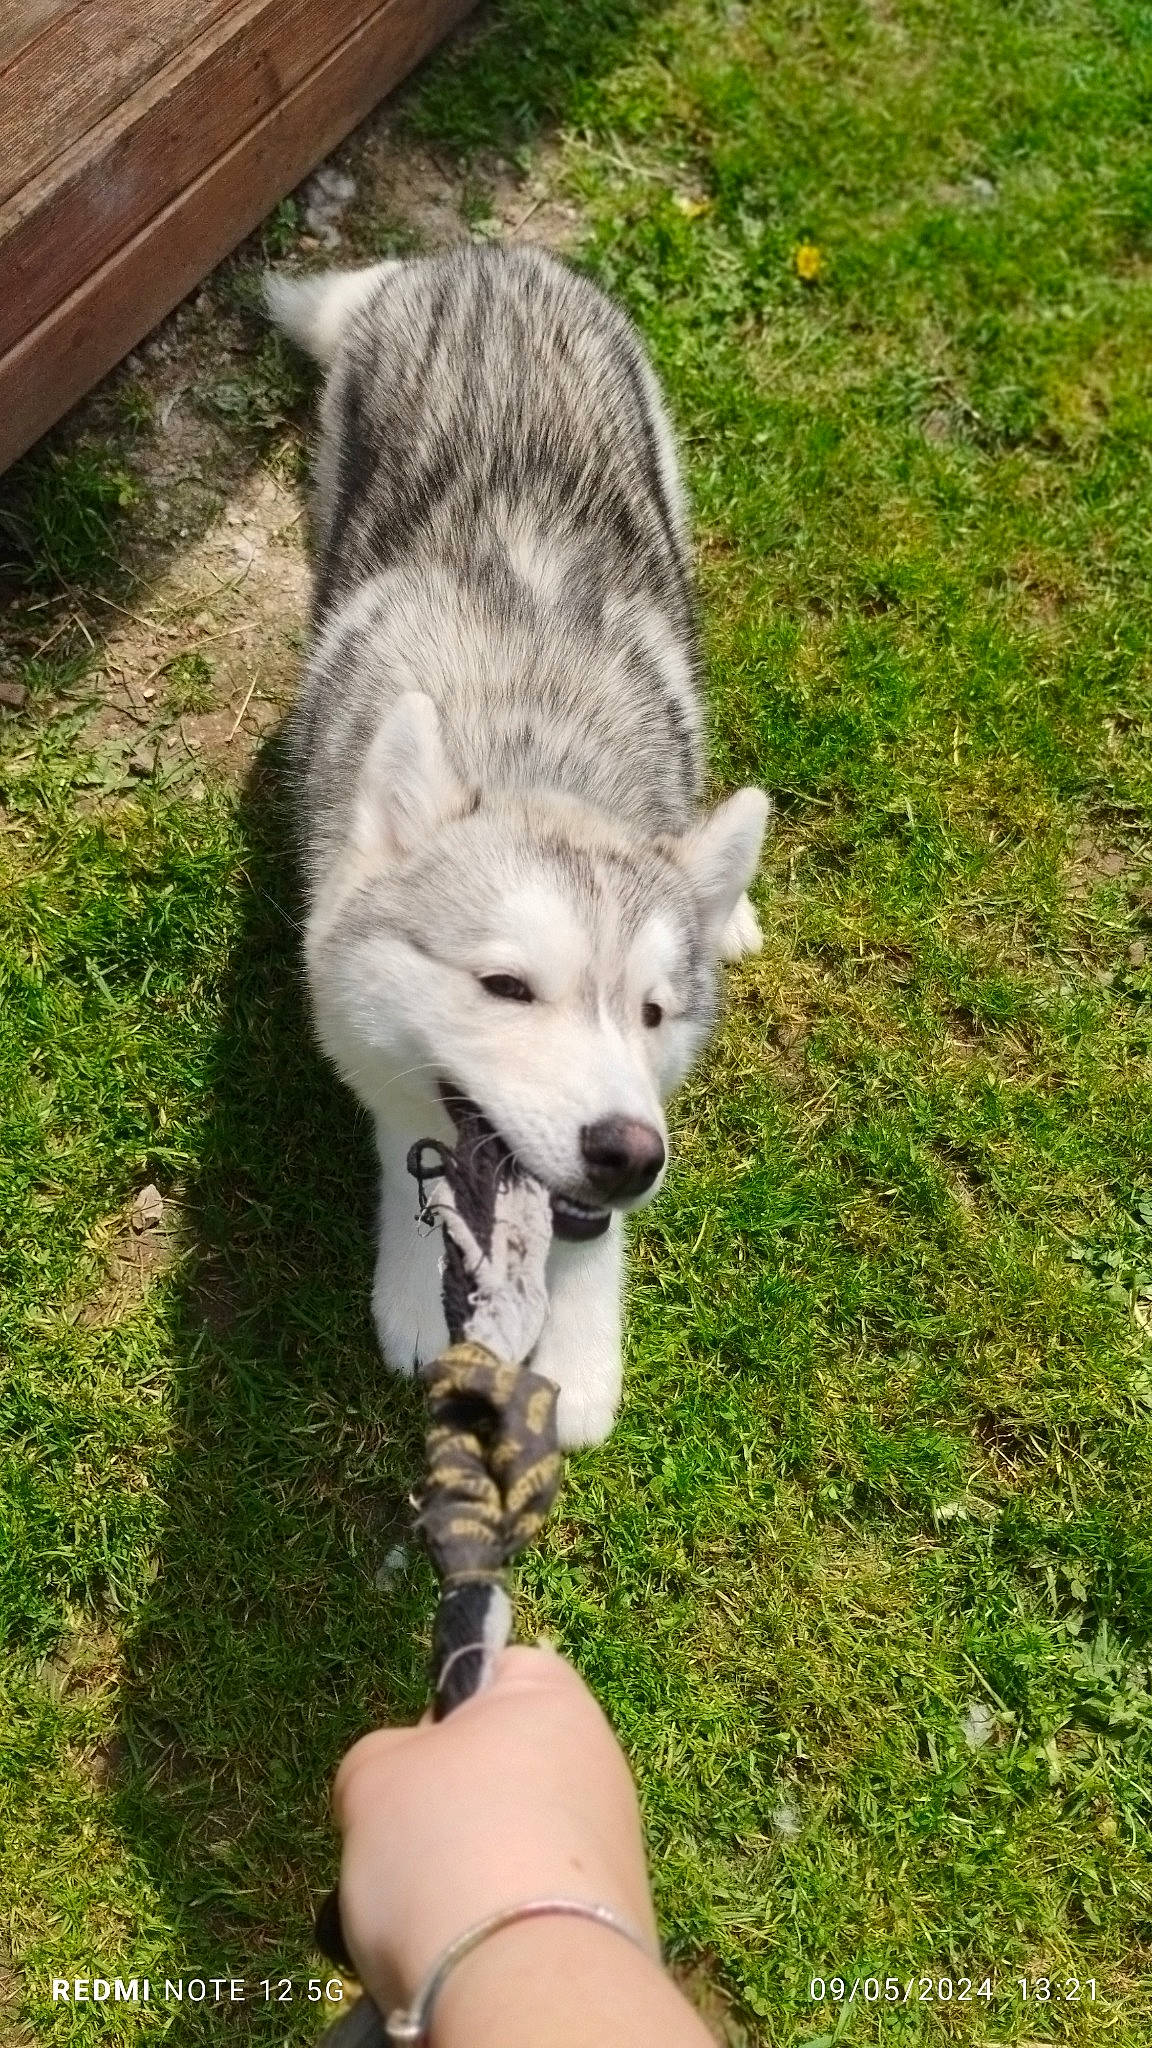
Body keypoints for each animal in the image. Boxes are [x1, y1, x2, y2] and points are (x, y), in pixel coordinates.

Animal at [266, 244, 769, 1448]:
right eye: (504, 985)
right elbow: (407, 1136)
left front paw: (581, 1347)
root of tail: (478, 255)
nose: (628, 1154)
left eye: (652, 1012)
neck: (531, 748)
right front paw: (417, 1287)